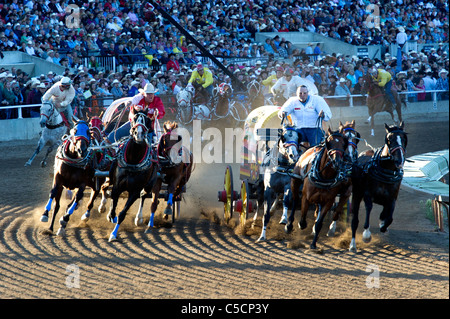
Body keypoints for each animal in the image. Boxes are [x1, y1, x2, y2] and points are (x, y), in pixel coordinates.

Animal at [348, 122, 408, 252]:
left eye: (404, 139)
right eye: (389, 139)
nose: (399, 160)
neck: (386, 171)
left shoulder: (392, 198)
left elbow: (389, 217)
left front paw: (383, 225)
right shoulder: (368, 195)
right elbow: (368, 209)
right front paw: (366, 235)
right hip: (357, 194)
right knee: (354, 220)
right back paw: (352, 244)